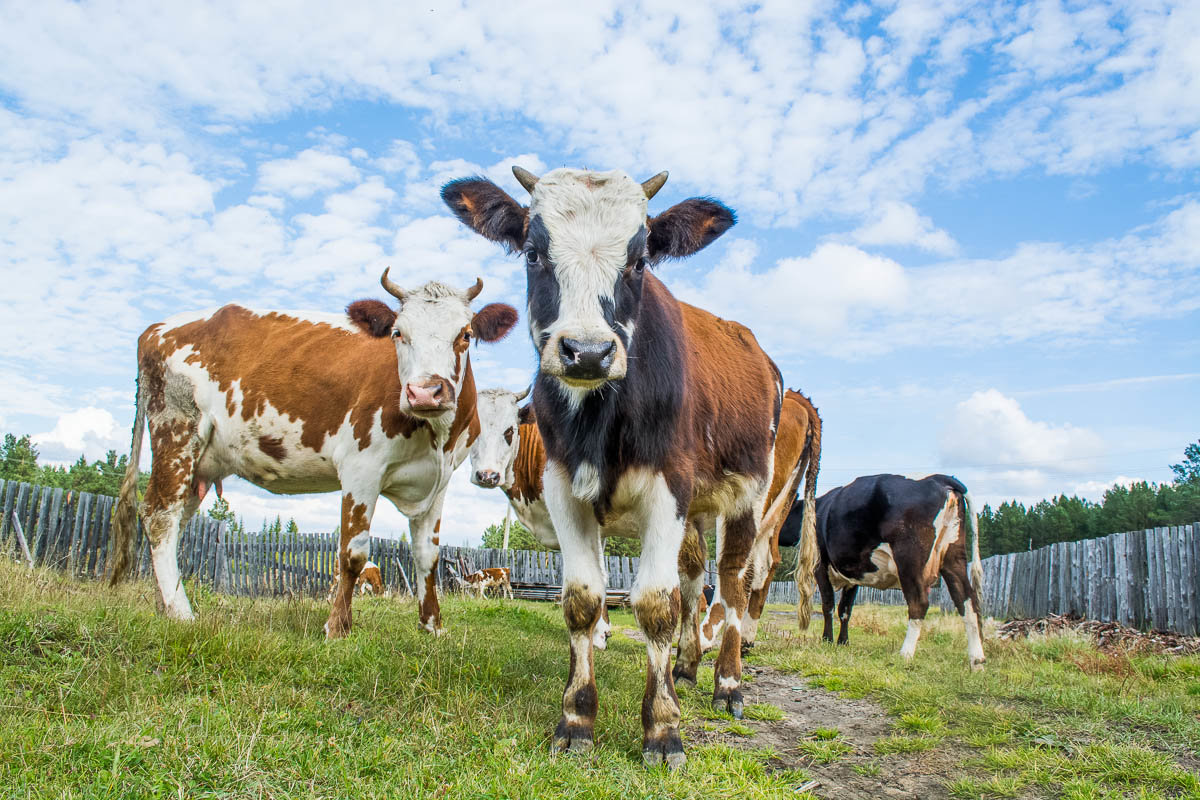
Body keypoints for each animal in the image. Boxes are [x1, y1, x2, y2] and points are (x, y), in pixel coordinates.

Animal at [105, 273, 513, 638]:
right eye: (398, 333)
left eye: (465, 334)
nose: (425, 392)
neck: (434, 434)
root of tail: (158, 328)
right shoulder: (361, 467)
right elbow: (352, 553)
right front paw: (338, 627)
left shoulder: (440, 479)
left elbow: (428, 555)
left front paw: (432, 627)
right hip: (176, 430)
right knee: (160, 515)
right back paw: (181, 613)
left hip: (198, 464)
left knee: (176, 521)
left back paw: (165, 605)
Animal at [441, 164, 796, 767]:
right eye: (533, 253)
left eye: (640, 261)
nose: (587, 351)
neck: (599, 421)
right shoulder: (567, 490)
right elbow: (584, 598)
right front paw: (577, 717)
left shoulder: (668, 490)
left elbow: (652, 603)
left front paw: (663, 728)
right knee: (695, 579)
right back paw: (686, 667)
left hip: (750, 492)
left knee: (732, 583)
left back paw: (727, 682)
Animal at [691, 388, 820, 662]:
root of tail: (796, 398)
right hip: (780, 503)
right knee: (766, 562)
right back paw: (746, 639)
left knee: (736, 565)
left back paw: (705, 637)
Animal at [782, 474, 988, 671]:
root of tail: (938, 478)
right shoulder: (854, 574)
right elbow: (845, 609)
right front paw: (843, 642)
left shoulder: (820, 565)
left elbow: (828, 605)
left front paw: (827, 640)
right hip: (953, 556)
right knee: (967, 600)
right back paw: (977, 660)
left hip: (909, 557)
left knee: (919, 603)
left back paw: (905, 654)